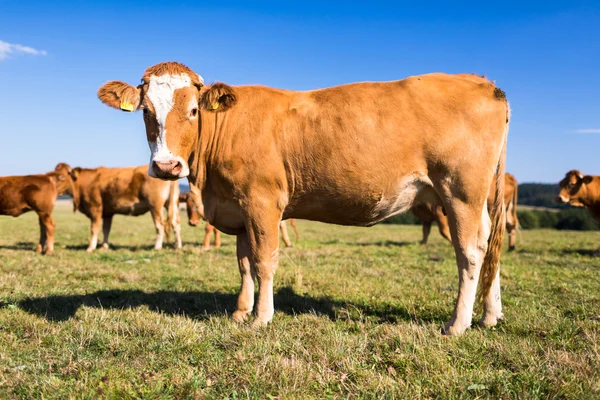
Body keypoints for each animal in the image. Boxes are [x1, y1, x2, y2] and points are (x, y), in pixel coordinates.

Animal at [98, 63, 510, 338]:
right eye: (146, 111)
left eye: (193, 110)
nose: (167, 166)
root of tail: (482, 82)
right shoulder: (240, 208)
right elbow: (244, 264)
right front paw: (240, 312)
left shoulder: (263, 202)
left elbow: (264, 261)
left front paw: (261, 317)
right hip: (475, 199)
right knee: (488, 245)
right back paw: (490, 315)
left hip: (460, 191)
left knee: (469, 253)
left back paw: (457, 324)